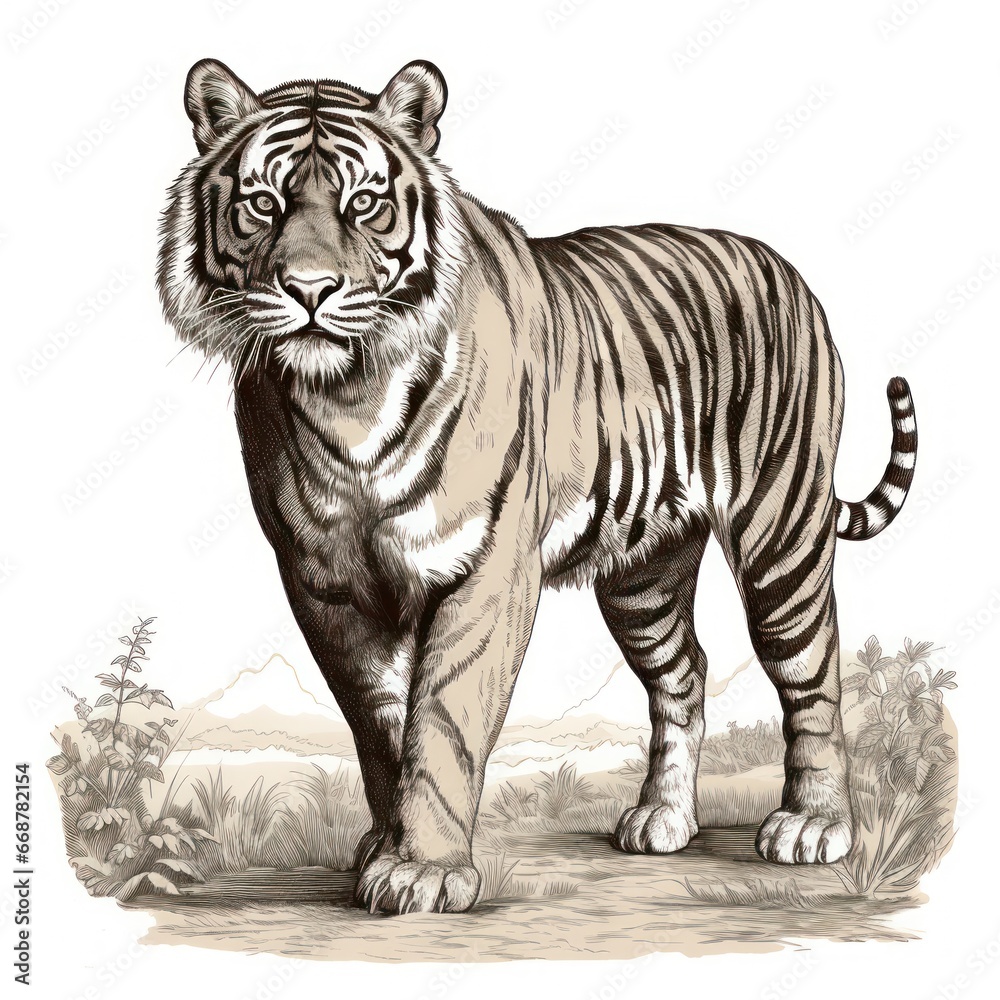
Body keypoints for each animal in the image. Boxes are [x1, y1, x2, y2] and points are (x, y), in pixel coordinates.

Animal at [158, 59, 917, 915]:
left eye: (365, 205)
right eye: (263, 204)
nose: (311, 289)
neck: (345, 396)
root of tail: (785, 269)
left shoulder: (485, 567)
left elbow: (444, 718)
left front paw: (426, 870)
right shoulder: (323, 581)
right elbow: (379, 724)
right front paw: (385, 845)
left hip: (779, 530)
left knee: (812, 669)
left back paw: (813, 825)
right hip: (644, 573)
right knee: (685, 672)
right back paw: (662, 819)